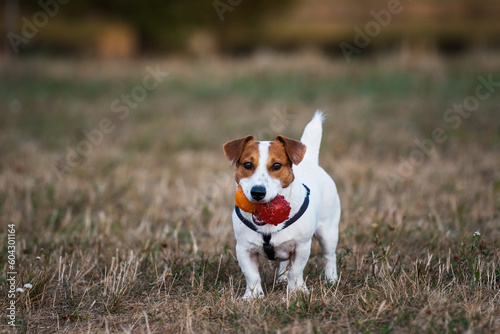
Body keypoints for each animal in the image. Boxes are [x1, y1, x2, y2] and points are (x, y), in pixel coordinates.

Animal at [225, 111, 342, 298]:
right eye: (248, 164)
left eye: (277, 165)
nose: (258, 192)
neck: (268, 225)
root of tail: (310, 162)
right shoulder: (243, 248)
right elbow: (252, 275)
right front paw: (253, 296)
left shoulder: (302, 246)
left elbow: (296, 271)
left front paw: (297, 291)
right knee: (284, 262)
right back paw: (281, 278)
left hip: (328, 231)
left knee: (329, 255)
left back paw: (331, 279)